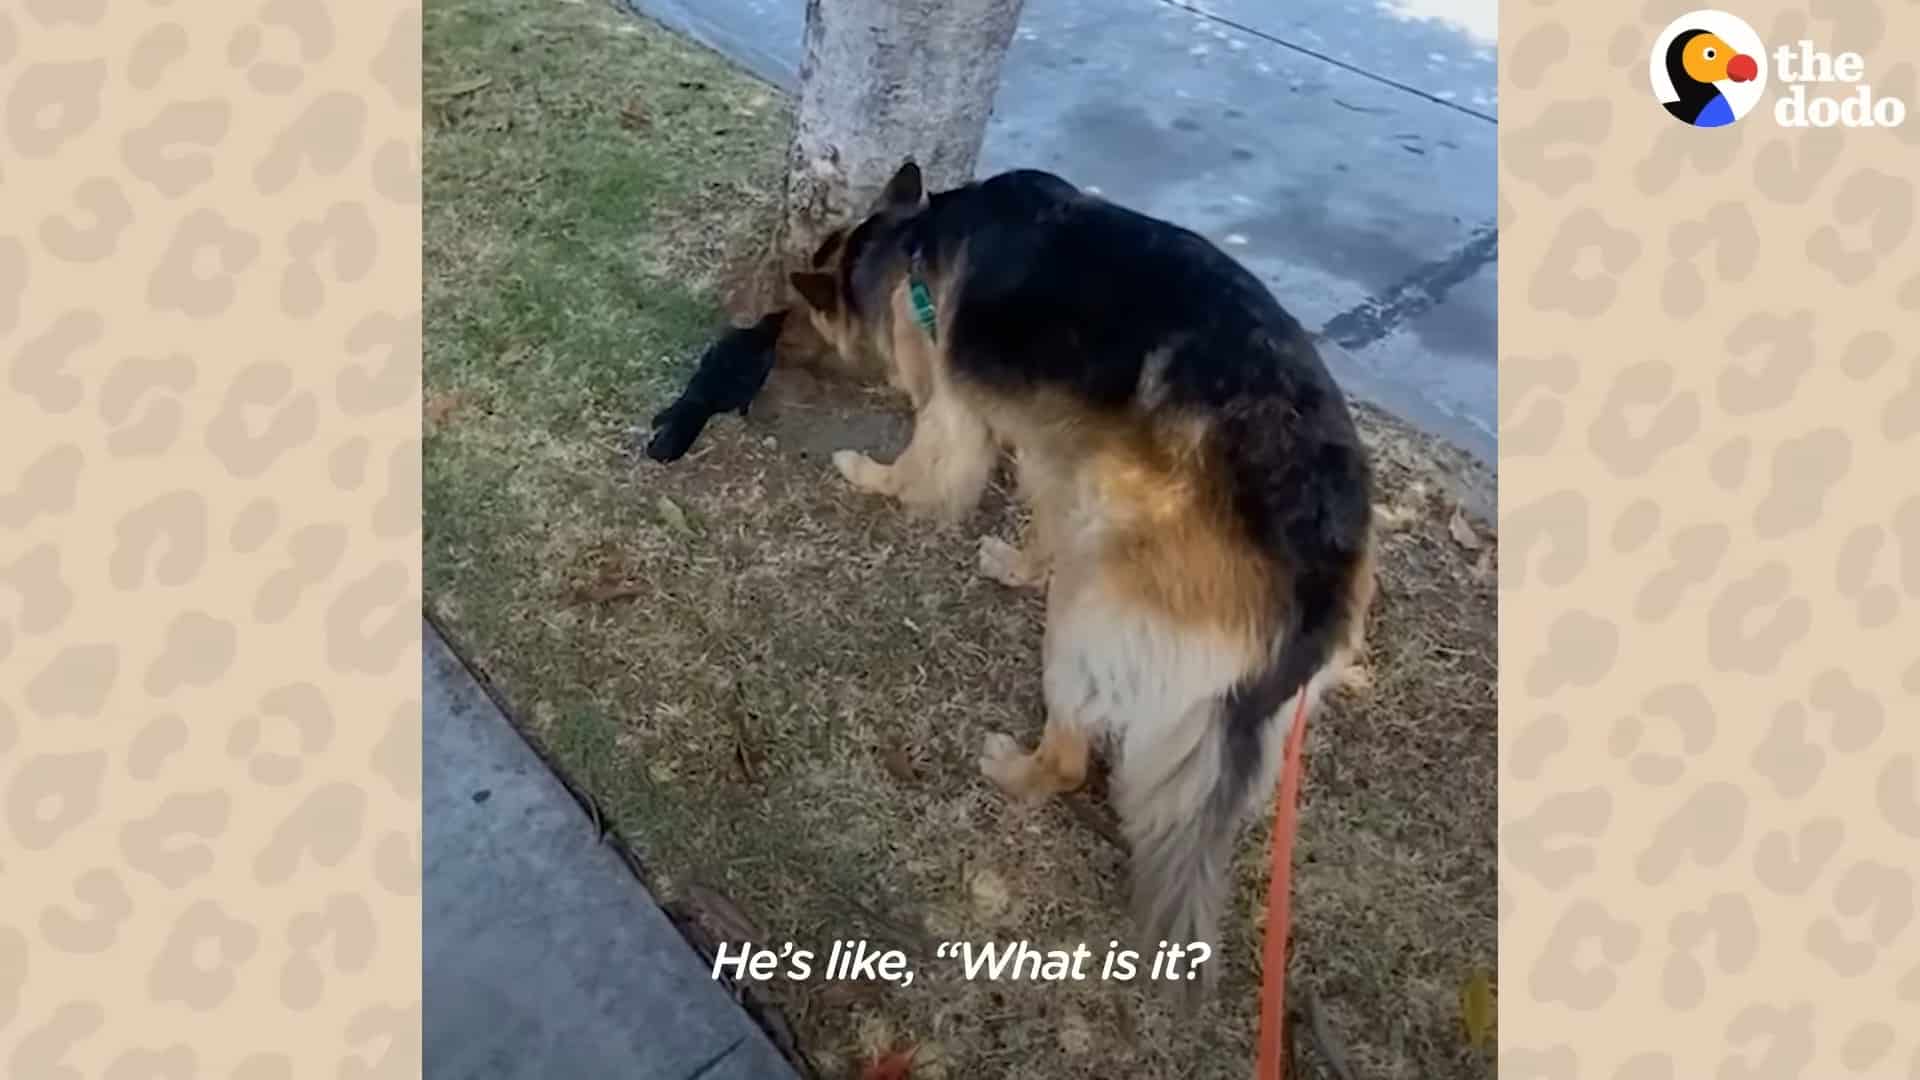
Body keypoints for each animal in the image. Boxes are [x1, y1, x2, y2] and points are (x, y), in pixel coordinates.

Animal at [787, 157, 1374, 983]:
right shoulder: (1063, 456)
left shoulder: (954, 411)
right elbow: (1045, 512)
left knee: (1072, 755)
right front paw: (1019, 560)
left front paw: (870, 476)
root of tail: (1318, 578)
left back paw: (1015, 771)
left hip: (1086, 611)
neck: (913, 242)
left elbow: (919, 467)